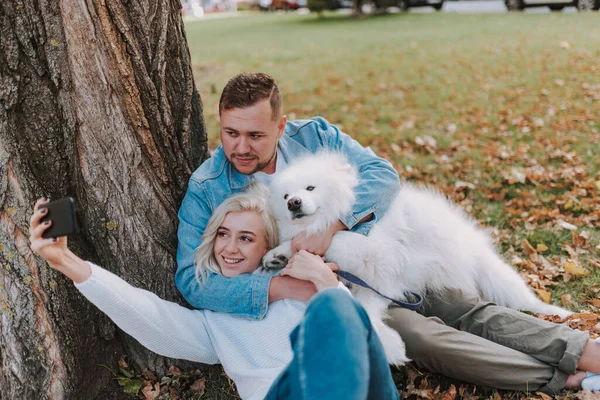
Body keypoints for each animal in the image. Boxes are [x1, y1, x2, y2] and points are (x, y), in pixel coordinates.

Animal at [264, 152, 572, 368]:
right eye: (285, 195)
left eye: (310, 188)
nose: (293, 203)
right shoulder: (379, 284)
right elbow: (365, 310)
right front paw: (277, 254)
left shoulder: (377, 258)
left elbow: (330, 239)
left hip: (493, 274)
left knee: (524, 300)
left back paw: (563, 314)